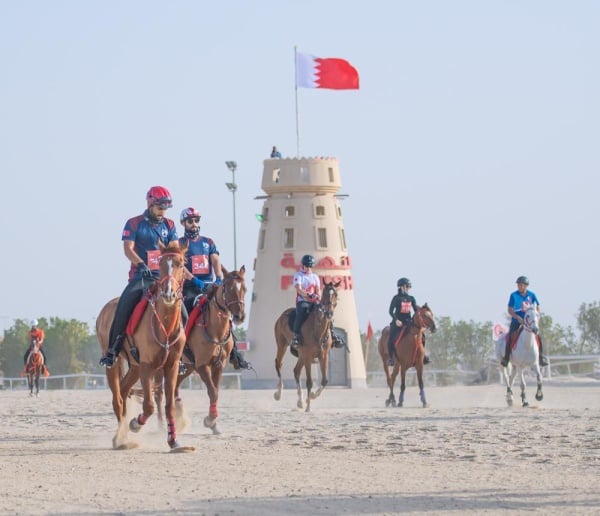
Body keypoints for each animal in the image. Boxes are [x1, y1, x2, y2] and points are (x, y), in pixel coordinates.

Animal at [96, 240, 191, 450]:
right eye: (161, 263)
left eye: (181, 264)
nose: (168, 293)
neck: (164, 324)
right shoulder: (148, 366)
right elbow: (148, 405)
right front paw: (135, 424)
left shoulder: (171, 366)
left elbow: (169, 406)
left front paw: (173, 441)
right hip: (114, 363)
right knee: (118, 398)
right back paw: (121, 439)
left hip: (135, 367)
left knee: (124, 391)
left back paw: (123, 435)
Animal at [175, 266, 247, 436]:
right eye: (228, 288)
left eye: (245, 289)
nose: (239, 316)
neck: (215, 330)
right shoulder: (202, 365)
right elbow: (212, 391)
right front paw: (210, 420)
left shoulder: (218, 364)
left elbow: (216, 392)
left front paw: (213, 423)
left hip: (188, 367)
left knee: (174, 387)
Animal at [274, 280, 340, 414]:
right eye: (325, 294)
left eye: (335, 294)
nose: (329, 313)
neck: (318, 330)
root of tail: (282, 316)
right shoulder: (309, 357)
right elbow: (309, 382)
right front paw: (308, 406)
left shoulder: (323, 356)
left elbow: (325, 380)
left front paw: (313, 396)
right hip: (282, 346)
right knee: (278, 364)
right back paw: (278, 393)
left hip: (301, 355)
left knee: (296, 371)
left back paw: (300, 401)